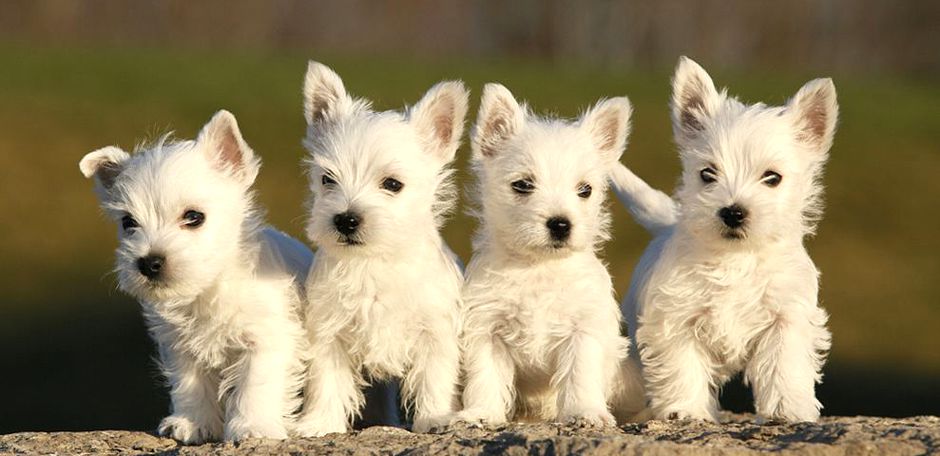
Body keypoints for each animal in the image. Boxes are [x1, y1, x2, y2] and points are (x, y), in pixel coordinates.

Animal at [79, 109, 310, 442]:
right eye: (128, 222)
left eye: (193, 217)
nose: (149, 262)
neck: (208, 288)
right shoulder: (181, 347)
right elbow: (190, 385)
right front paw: (192, 423)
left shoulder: (266, 338)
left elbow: (256, 385)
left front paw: (252, 427)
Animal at [296, 60, 468, 434]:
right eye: (327, 179)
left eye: (392, 184)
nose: (346, 219)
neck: (373, 262)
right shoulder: (329, 334)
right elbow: (326, 382)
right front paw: (319, 423)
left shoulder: (434, 333)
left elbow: (435, 379)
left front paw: (435, 417)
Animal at [454, 83, 636, 426]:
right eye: (523, 185)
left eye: (585, 190)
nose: (561, 224)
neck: (538, 267)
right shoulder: (488, 331)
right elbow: (485, 377)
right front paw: (480, 413)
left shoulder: (582, 330)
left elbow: (579, 374)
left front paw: (584, 412)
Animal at [608, 57, 836, 424]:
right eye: (707, 174)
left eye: (772, 178)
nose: (732, 212)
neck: (735, 258)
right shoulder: (676, 320)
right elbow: (682, 366)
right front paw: (686, 410)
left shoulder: (785, 318)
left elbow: (784, 365)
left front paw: (787, 409)